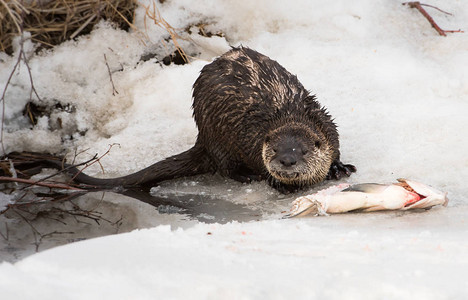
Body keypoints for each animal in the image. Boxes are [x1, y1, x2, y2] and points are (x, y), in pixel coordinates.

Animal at [64, 47, 354, 192]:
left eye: (302, 151)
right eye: (274, 150)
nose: (287, 161)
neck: (288, 113)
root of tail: (202, 138)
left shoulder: (327, 124)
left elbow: (336, 149)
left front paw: (339, 167)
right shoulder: (250, 140)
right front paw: (277, 183)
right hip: (218, 138)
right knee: (225, 167)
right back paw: (245, 176)